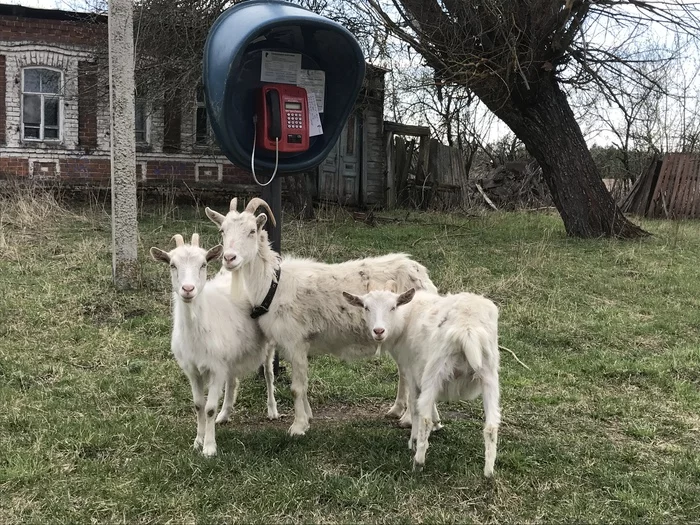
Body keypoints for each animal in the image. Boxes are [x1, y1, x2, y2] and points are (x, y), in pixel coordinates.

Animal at [150, 232, 278, 454]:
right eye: (172, 265)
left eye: (203, 264)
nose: (188, 289)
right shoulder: (193, 369)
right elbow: (198, 405)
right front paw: (198, 441)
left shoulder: (216, 367)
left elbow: (209, 408)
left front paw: (209, 448)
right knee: (232, 380)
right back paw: (224, 414)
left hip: (267, 344)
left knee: (269, 373)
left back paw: (272, 410)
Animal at [205, 196, 440, 434]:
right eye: (223, 230)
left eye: (252, 230)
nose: (229, 258)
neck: (273, 284)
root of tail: (422, 274)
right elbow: (303, 385)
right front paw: (307, 417)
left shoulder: (295, 341)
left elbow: (297, 388)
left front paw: (298, 426)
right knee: (403, 371)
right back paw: (396, 410)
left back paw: (409, 418)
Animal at [344, 280, 498, 476]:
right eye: (366, 307)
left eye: (393, 307)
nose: (378, 331)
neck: (405, 317)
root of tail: (467, 327)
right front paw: (437, 423)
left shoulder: (412, 371)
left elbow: (413, 403)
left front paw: (413, 437)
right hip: (489, 373)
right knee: (492, 426)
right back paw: (489, 472)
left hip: (435, 368)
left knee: (424, 418)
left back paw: (418, 461)